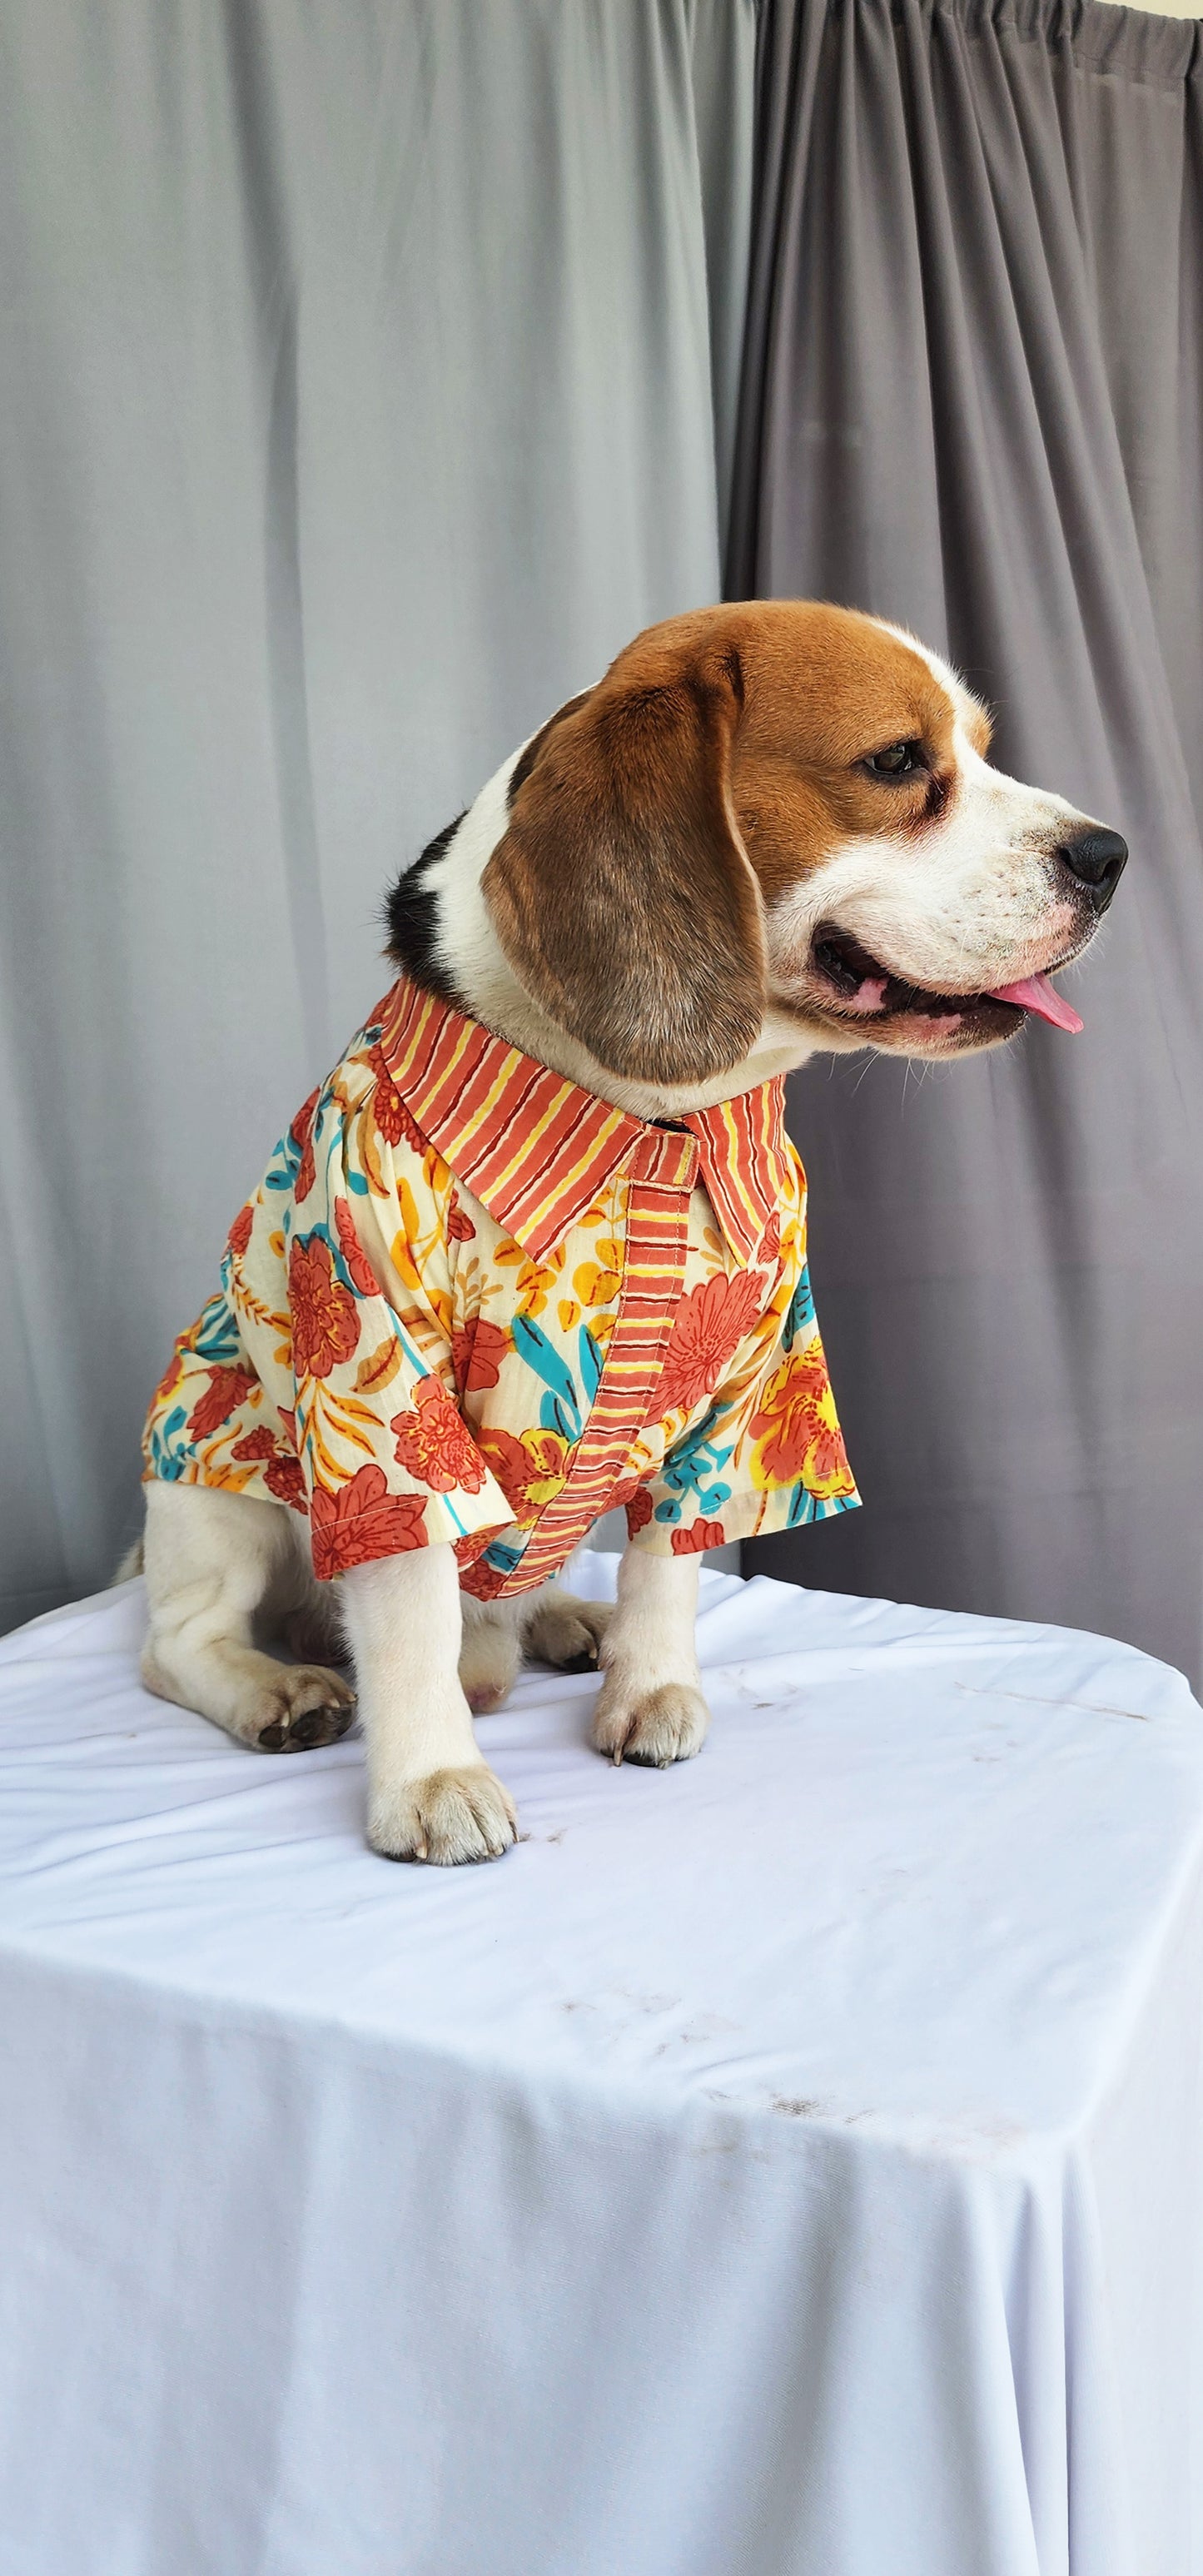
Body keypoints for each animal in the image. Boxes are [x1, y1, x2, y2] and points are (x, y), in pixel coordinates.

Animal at [133, 594, 1128, 1865]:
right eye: (900, 763)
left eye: (986, 750)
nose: (1109, 856)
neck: (657, 1114)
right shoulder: (380, 1378)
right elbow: (407, 1603)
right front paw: (430, 1777)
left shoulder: (746, 1383)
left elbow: (669, 1562)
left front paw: (650, 1683)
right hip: (214, 1486)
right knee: (181, 1641)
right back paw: (280, 1687)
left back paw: (564, 1620)